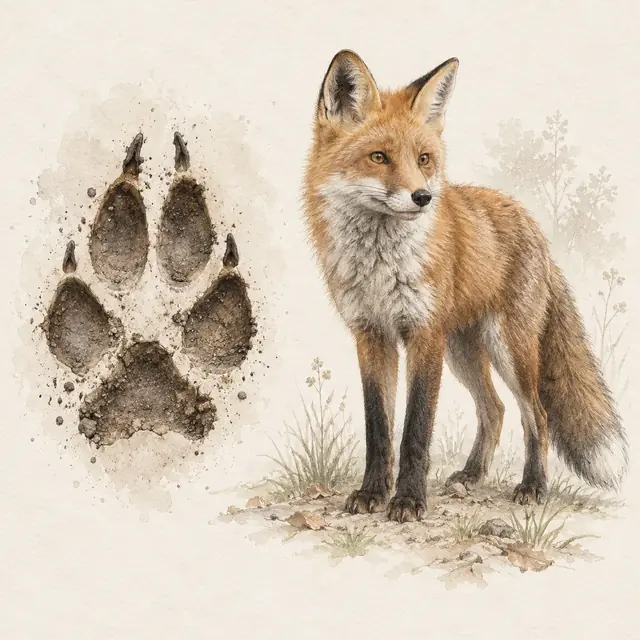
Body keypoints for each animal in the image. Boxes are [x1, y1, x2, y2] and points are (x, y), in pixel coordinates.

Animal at [301, 50, 629, 523]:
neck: (382, 266)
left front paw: (408, 500)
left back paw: (533, 486)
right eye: (378, 157)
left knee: (537, 415)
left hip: (508, 349)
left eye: (424, 158)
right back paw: (472, 475)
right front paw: (371, 493)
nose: (423, 197)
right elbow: (378, 429)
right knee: (494, 409)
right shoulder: (371, 335)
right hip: (462, 352)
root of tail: (530, 222)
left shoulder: (424, 335)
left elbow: (415, 430)